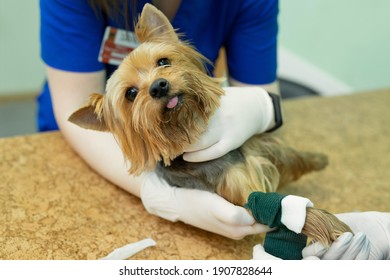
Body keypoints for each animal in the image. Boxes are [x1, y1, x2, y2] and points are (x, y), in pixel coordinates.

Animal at [68, 2, 352, 247]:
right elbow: (284, 208)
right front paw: (334, 228)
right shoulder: (243, 193)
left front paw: (318, 160)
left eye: (163, 62)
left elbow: (291, 156)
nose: (159, 86)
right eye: (131, 94)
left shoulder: (258, 147)